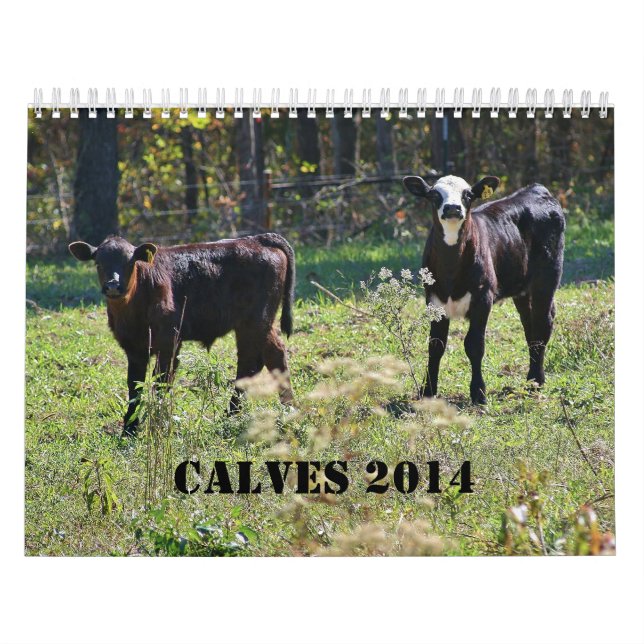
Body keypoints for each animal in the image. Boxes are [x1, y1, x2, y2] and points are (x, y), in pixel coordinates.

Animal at [69, 233, 295, 436]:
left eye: (130, 262)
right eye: (98, 263)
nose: (113, 286)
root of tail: (257, 239)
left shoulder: (169, 342)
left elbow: (161, 381)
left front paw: (157, 424)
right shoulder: (133, 348)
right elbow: (134, 386)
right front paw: (129, 429)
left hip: (254, 322)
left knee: (249, 364)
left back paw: (232, 415)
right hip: (259, 325)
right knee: (273, 354)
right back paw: (288, 408)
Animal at [402, 174, 565, 404]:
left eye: (468, 195)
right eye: (434, 194)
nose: (452, 208)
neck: (451, 268)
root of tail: (536, 189)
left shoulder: (483, 297)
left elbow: (474, 345)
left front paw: (479, 393)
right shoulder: (433, 299)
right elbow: (435, 345)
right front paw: (428, 391)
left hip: (548, 277)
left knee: (543, 323)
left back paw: (536, 381)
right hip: (521, 288)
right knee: (530, 326)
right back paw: (532, 380)